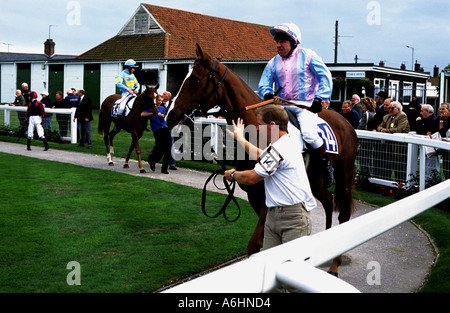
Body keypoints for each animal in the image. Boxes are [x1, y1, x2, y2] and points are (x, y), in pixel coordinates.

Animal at [166, 44, 358, 276]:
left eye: (194, 80)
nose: (169, 116)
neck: (258, 130)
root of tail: (345, 122)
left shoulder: (269, 196)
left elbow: (255, 245)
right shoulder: (254, 195)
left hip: (344, 174)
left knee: (343, 214)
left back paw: (335, 265)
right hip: (314, 179)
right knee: (329, 203)